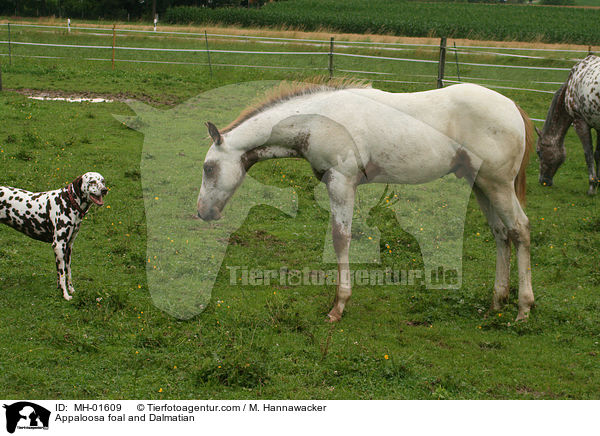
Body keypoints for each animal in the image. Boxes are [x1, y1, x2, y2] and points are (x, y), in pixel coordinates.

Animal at [197, 80, 536, 322]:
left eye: (208, 167)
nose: (203, 212)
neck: (317, 119)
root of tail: (512, 106)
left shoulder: (341, 181)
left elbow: (340, 237)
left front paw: (338, 306)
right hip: (480, 185)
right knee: (501, 234)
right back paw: (496, 302)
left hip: (497, 184)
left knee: (519, 229)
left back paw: (523, 309)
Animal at [536, 54, 600, 194]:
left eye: (539, 152)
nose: (543, 181)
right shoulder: (598, 127)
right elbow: (598, 154)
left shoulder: (580, 122)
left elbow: (588, 154)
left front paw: (592, 186)